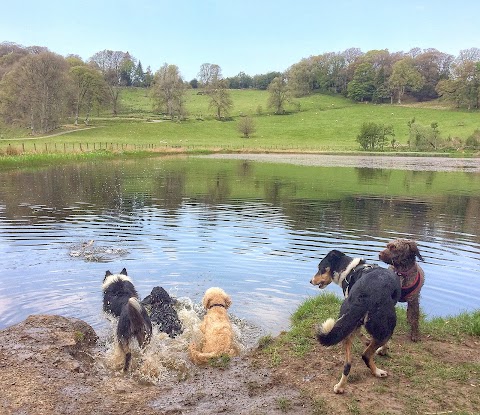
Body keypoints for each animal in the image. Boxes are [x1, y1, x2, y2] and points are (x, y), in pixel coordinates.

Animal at [312, 249, 402, 394]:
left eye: (321, 268)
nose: (311, 281)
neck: (349, 270)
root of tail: (363, 296)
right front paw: (382, 349)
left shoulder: (353, 323)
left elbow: (360, 333)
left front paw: (367, 341)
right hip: (388, 325)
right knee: (366, 355)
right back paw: (377, 372)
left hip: (346, 324)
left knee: (348, 364)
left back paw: (340, 387)